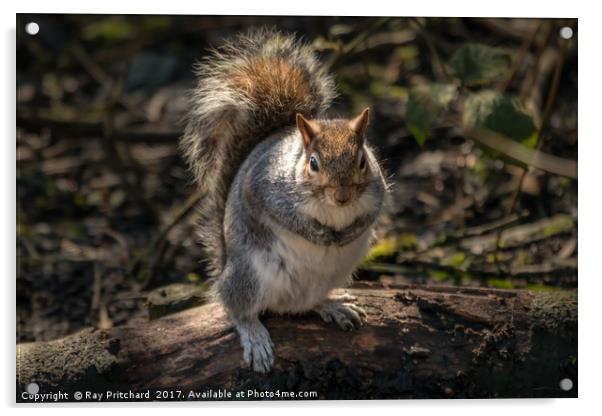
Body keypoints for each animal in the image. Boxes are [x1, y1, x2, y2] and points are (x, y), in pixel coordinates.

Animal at [180, 29, 384, 374]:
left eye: (362, 161)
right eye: (313, 163)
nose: (342, 196)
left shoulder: (378, 190)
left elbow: (373, 213)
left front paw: (351, 231)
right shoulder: (266, 189)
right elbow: (287, 217)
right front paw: (319, 234)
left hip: (330, 276)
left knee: (306, 304)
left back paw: (332, 305)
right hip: (250, 274)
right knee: (236, 306)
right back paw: (254, 335)